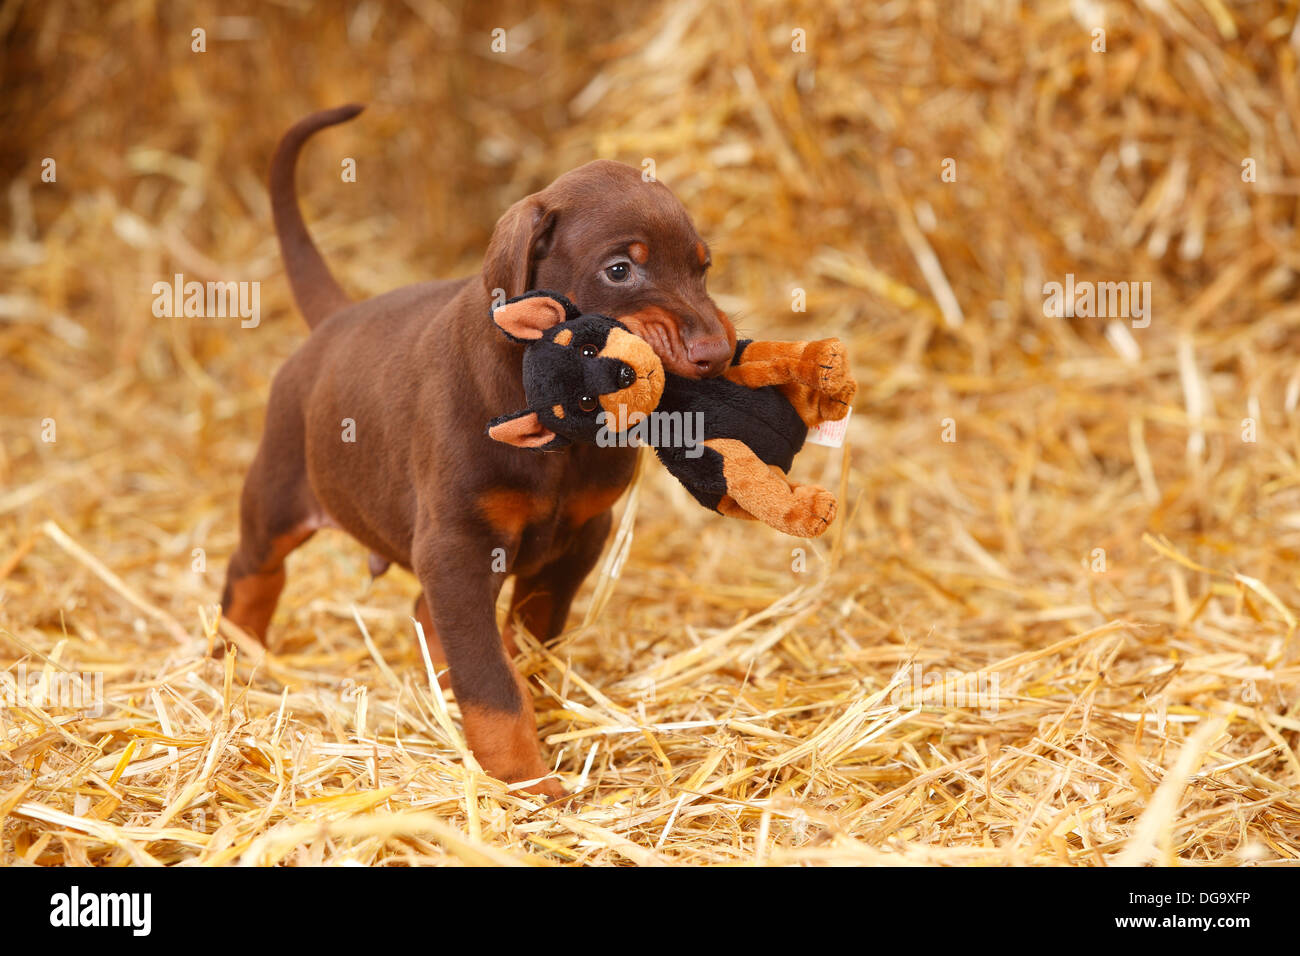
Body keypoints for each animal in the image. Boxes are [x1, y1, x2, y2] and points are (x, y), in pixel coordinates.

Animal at [222, 104, 847, 801]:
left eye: (703, 268)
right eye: (620, 270)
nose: (714, 351)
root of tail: (335, 321)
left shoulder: (579, 536)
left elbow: (526, 639)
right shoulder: (456, 546)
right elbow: (492, 682)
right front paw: (526, 781)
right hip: (279, 490)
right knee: (251, 575)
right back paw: (231, 665)